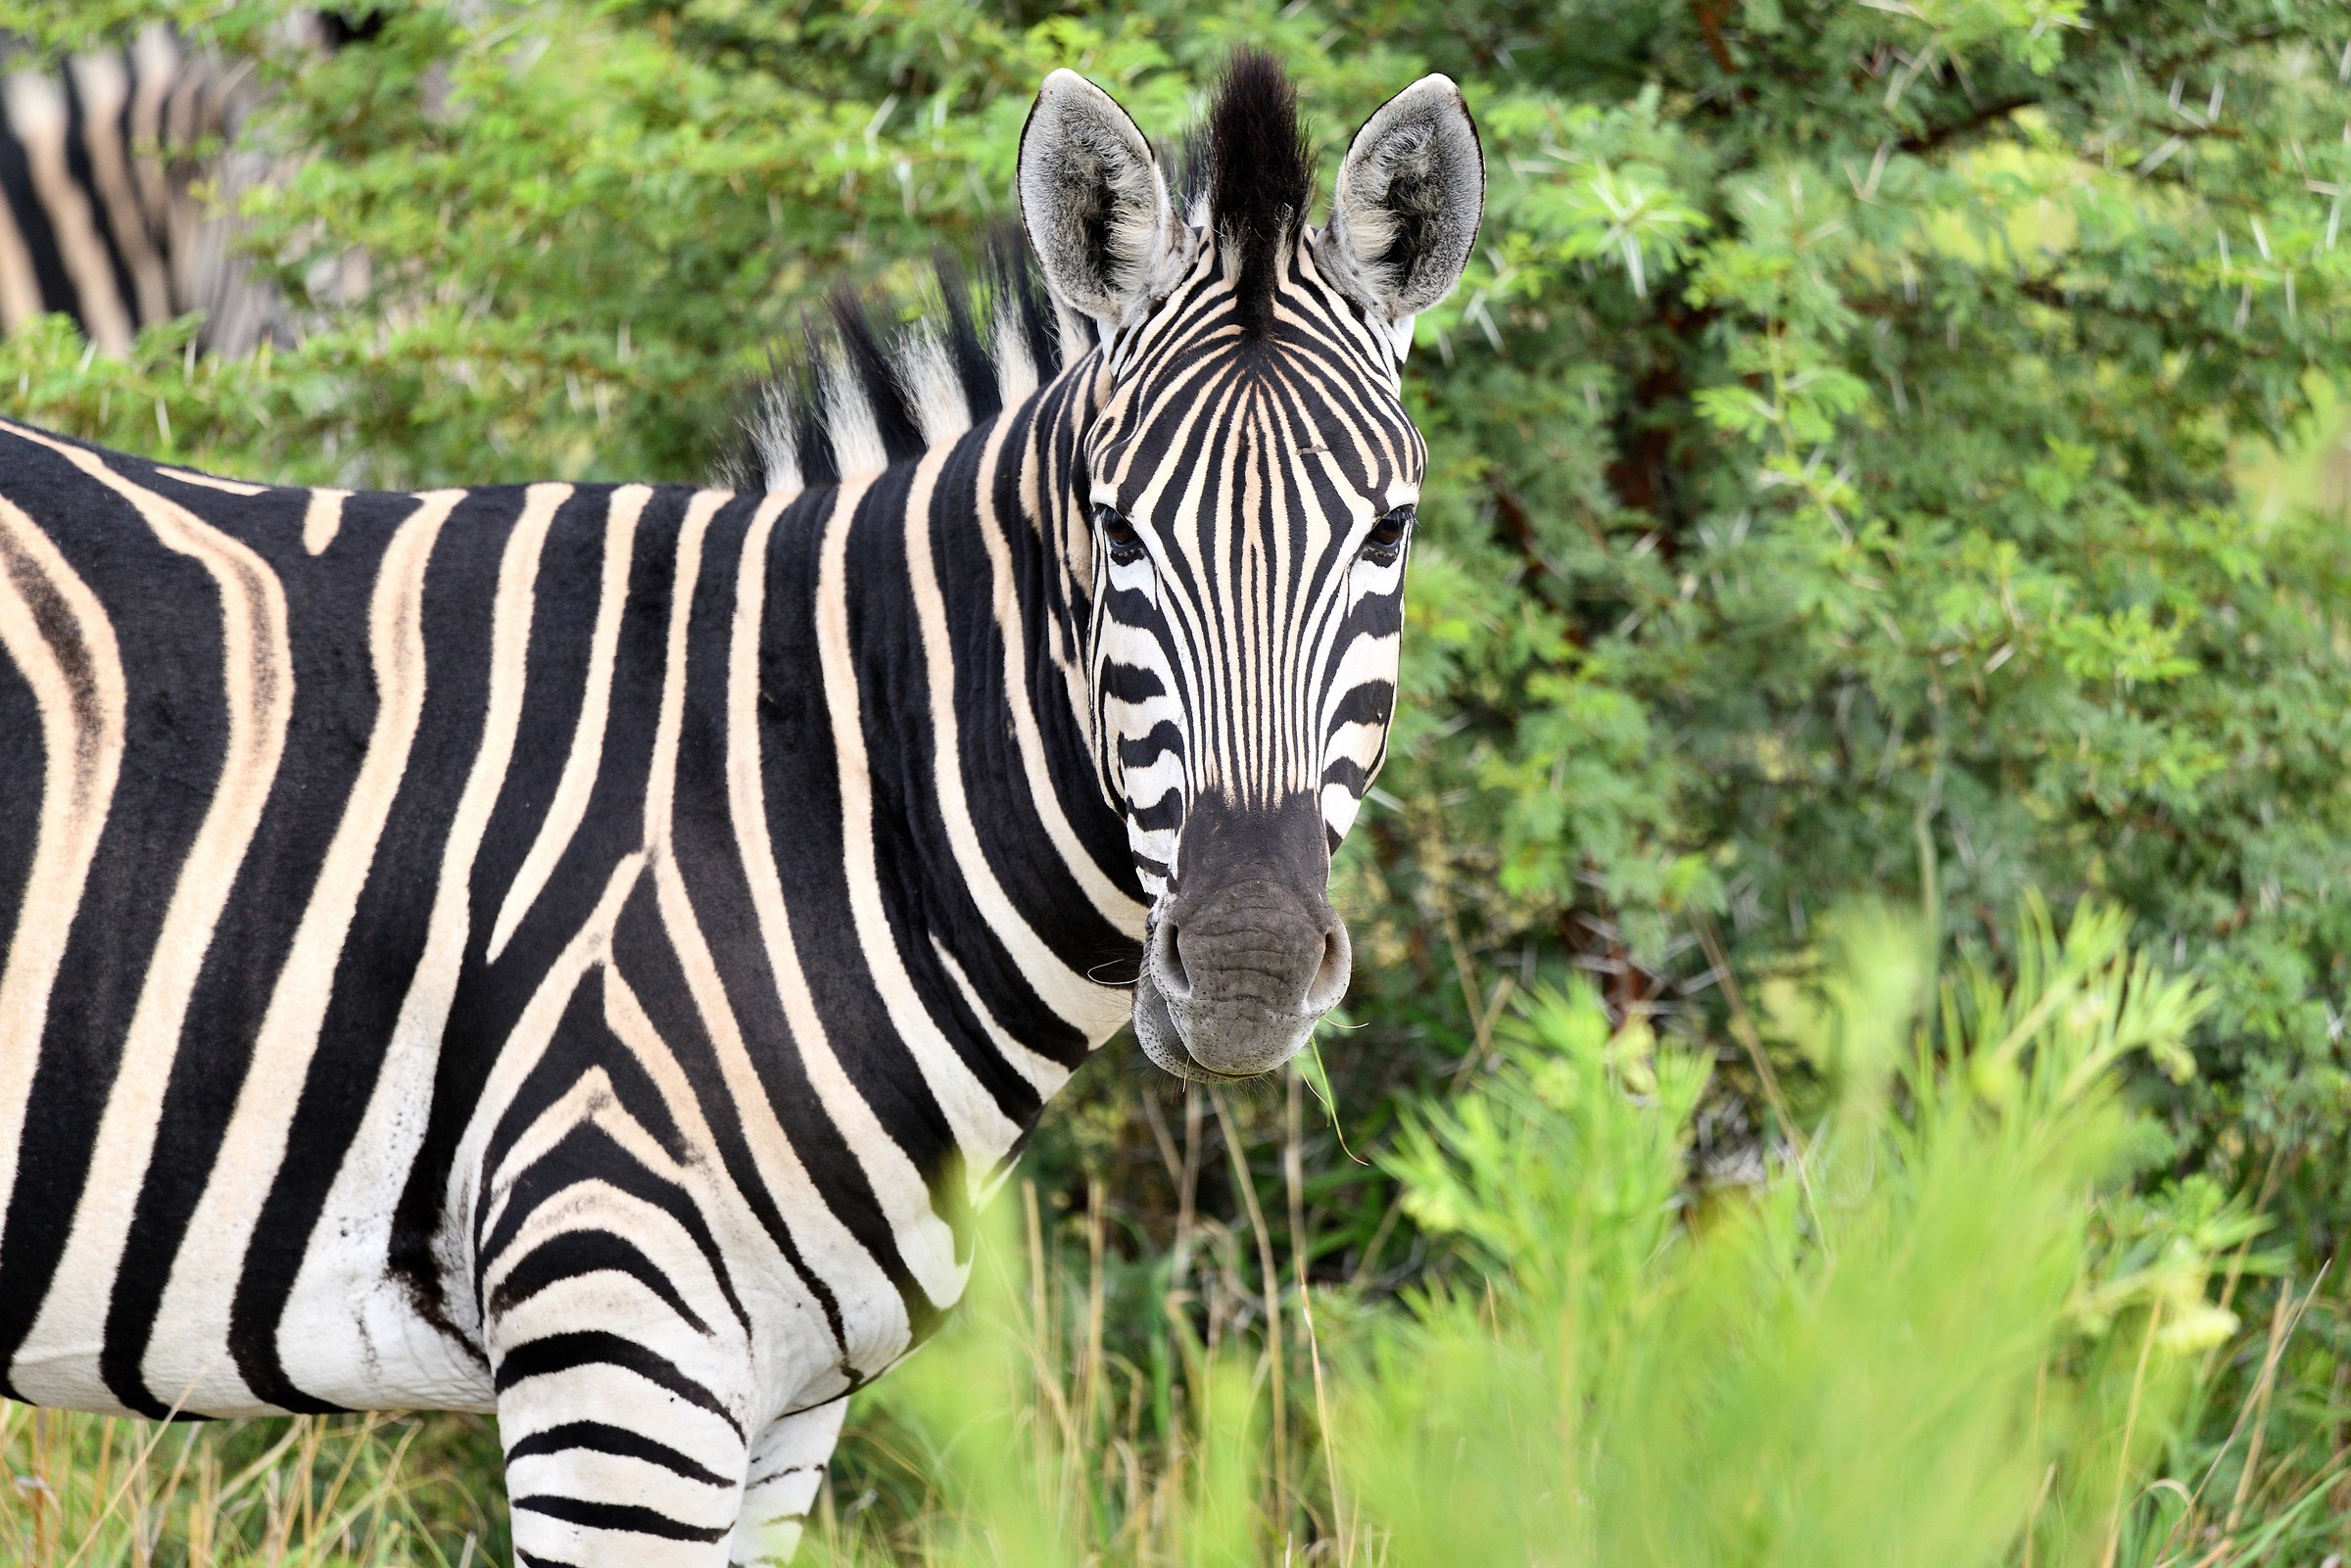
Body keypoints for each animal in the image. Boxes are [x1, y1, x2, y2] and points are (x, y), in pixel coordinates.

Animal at [0, 52, 1482, 1565]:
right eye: (1116, 530)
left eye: (1390, 531)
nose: (1244, 968)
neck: (814, 806)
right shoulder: (614, 1342)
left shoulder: (786, 1403)